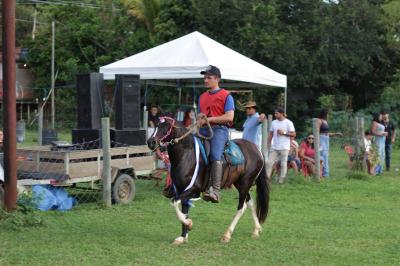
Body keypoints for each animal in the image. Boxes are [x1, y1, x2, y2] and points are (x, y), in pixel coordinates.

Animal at [145, 117, 270, 245]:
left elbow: (174, 203)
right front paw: (183, 236)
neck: (186, 154)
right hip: (240, 184)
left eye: (166, 126)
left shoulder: (193, 190)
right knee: (250, 203)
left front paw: (189, 224)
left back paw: (227, 235)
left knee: (241, 207)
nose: (151, 142)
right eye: (156, 125)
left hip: (245, 183)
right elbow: (184, 209)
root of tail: (257, 149)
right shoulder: (181, 189)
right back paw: (256, 229)